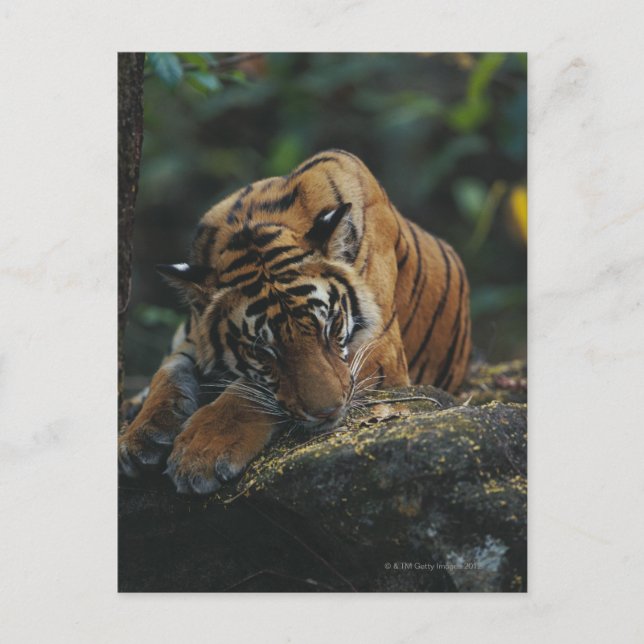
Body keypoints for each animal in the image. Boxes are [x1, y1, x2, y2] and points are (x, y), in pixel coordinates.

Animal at [118, 149, 472, 494]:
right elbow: (167, 372)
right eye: (263, 352)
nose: (329, 412)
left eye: (329, 328)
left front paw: (200, 450)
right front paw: (139, 437)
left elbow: (246, 390)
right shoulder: (193, 336)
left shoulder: (382, 348)